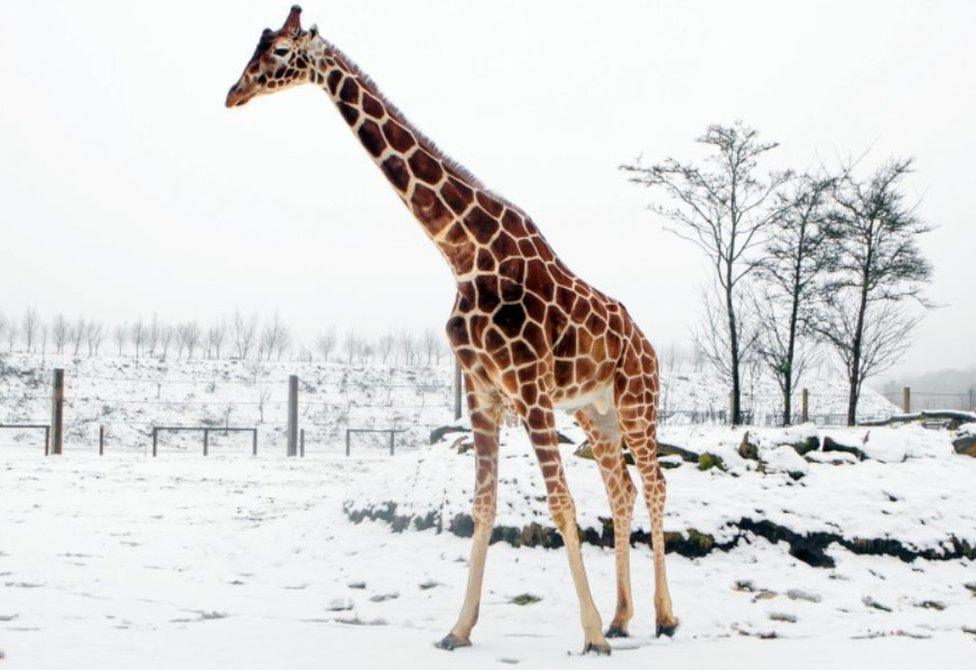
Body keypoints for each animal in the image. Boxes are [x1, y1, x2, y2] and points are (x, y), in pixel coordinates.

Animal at [225, 5, 676, 656]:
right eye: (257, 47)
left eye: (281, 51)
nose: (234, 92)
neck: (462, 253)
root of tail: (648, 345)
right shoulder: (484, 393)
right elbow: (483, 506)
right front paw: (459, 628)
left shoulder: (529, 389)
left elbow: (560, 503)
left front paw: (589, 635)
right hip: (596, 411)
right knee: (623, 490)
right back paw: (623, 615)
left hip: (638, 401)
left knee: (656, 484)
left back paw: (662, 617)